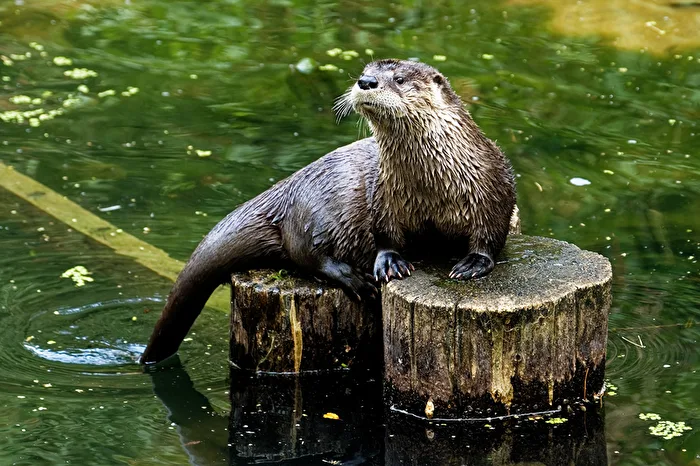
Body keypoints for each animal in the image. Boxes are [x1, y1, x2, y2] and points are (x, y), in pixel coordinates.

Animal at [140, 59, 516, 365]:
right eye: (366, 70)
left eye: (398, 78)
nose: (366, 82)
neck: (431, 186)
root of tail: (285, 191)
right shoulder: (382, 197)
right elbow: (385, 236)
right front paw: (389, 263)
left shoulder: (494, 188)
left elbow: (490, 235)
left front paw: (472, 264)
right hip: (311, 216)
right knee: (307, 255)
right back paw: (354, 278)